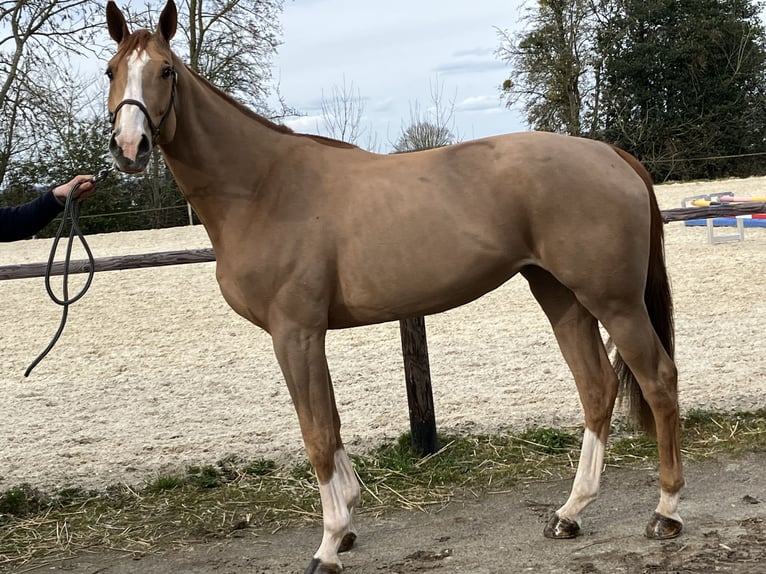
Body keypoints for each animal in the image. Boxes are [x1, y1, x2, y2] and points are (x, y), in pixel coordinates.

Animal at [104, 1, 684, 572]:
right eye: (111, 71)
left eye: (165, 70)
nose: (130, 147)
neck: (262, 187)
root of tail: (610, 154)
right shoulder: (308, 335)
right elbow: (332, 422)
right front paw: (346, 525)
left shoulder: (294, 333)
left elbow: (316, 432)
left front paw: (328, 545)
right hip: (562, 296)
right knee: (597, 387)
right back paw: (569, 514)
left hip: (615, 301)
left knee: (657, 379)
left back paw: (666, 511)